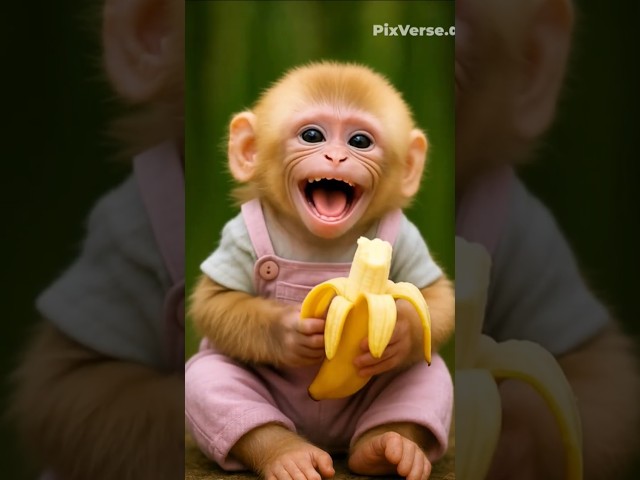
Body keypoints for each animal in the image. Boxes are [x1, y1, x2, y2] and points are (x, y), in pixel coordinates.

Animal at [185, 62, 455, 480]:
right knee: (215, 383)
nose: (336, 158)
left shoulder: (410, 241)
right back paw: (289, 455)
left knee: (425, 381)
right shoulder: (236, 238)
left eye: (360, 141)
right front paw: (292, 333)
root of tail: (324, 439)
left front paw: (399, 335)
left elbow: (437, 299)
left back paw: (389, 449)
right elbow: (216, 304)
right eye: (312, 135)